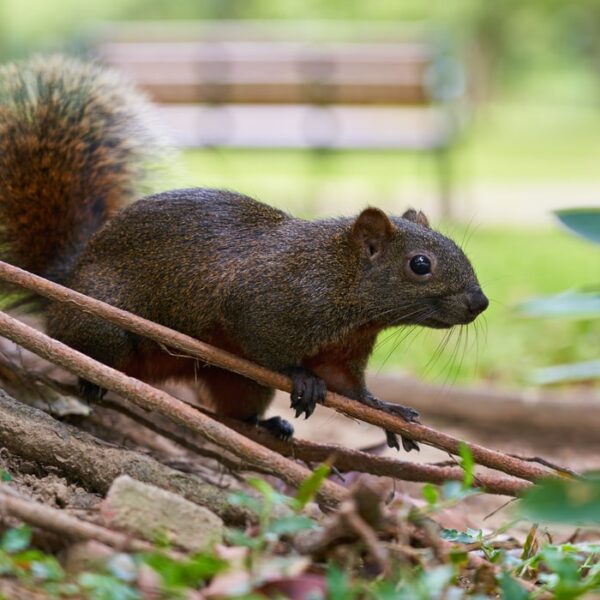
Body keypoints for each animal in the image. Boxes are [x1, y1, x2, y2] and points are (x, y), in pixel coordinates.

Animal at [0, 57, 488, 450]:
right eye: (420, 265)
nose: (480, 302)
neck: (341, 281)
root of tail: (65, 281)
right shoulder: (264, 302)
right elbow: (264, 345)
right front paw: (301, 377)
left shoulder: (342, 349)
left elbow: (351, 389)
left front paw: (387, 410)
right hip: (101, 326)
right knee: (88, 350)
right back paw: (91, 383)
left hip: (236, 383)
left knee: (237, 408)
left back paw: (267, 425)